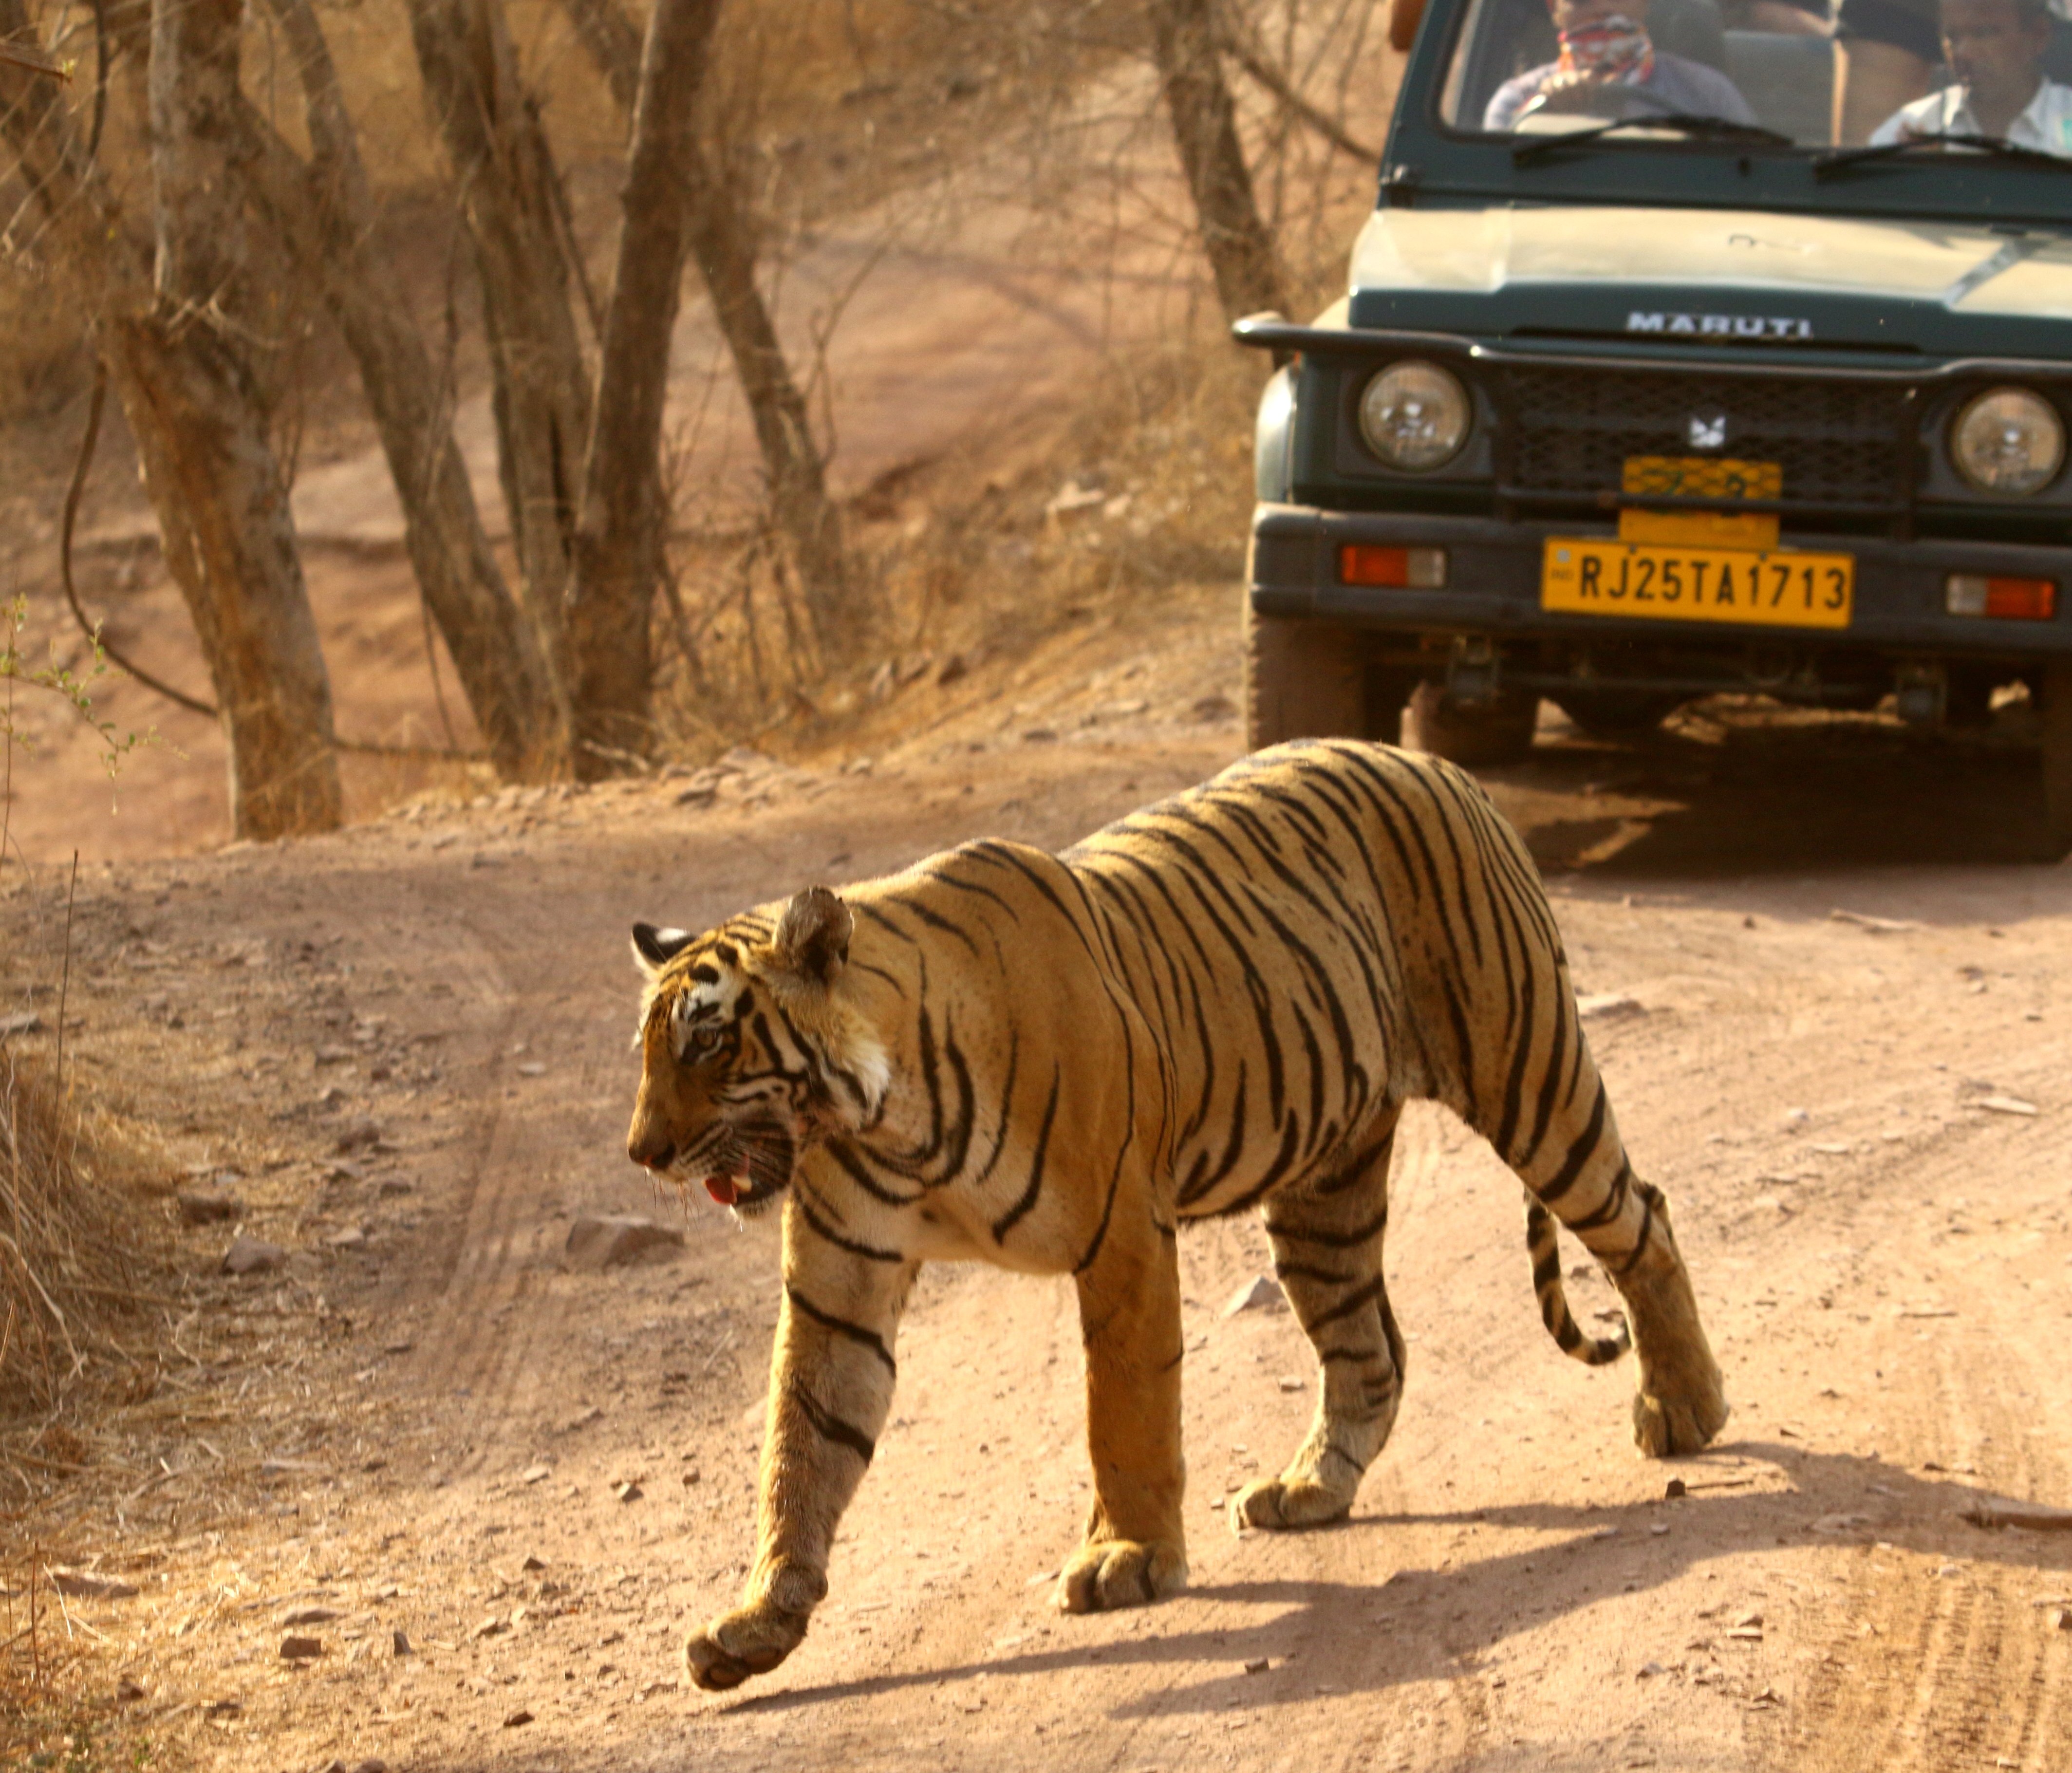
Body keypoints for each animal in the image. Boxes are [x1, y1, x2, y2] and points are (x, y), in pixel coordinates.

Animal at [624, 738, 1727, 1693]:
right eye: (647, 1050)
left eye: (709, 1043)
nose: (641, 1153)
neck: (886, 1114)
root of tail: (1433, 760)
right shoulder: (841, 1282)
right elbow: (802, 1442)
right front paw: (758, 1620)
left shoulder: (1121, 1234)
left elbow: (1124, 1408)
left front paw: (1127, 1555)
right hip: (1323, 1192)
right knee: (1369, 1347)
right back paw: (1311, 1487)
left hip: (1527, 1072)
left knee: (1642, 1217)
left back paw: (1685, 1408)